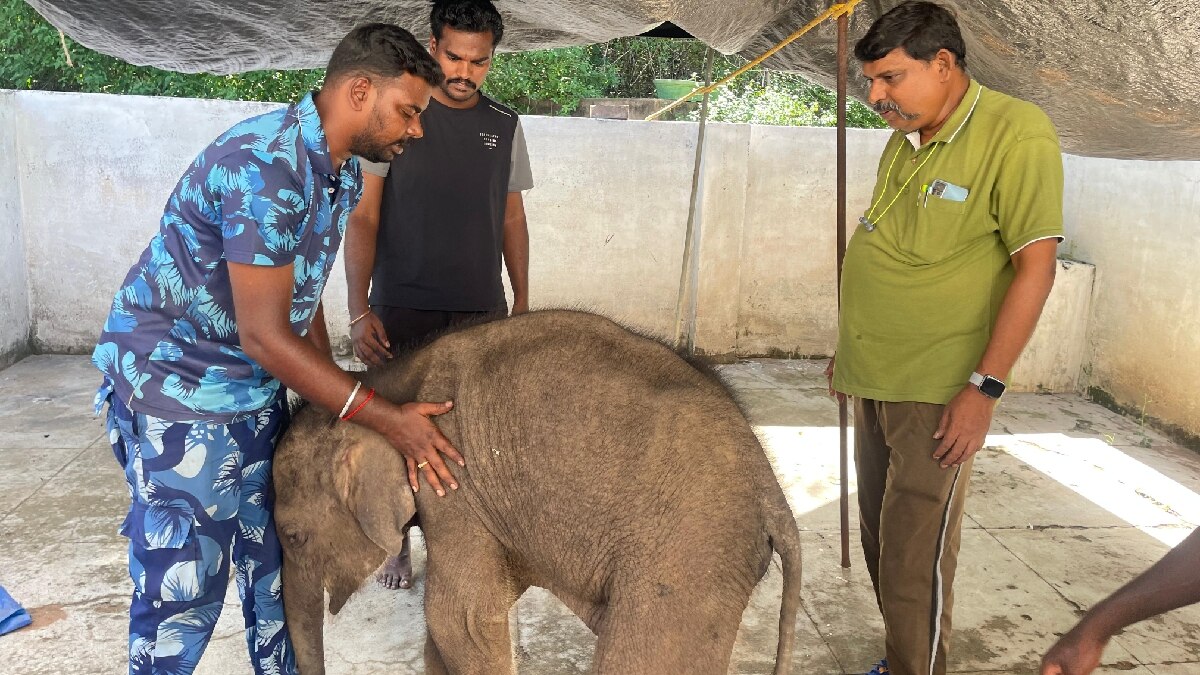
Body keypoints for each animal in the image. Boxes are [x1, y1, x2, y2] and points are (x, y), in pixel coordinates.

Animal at [271, 307, 796, 667]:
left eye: (294, 536)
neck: (382, 386)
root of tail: (775, 496)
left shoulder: (454, 484)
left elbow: (459, 620)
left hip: (688, 552)